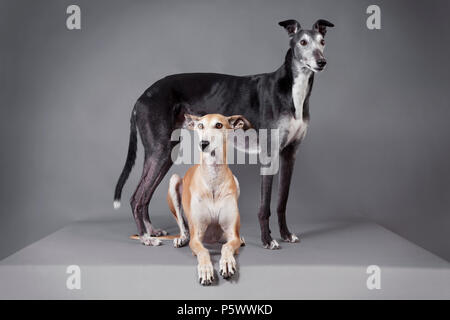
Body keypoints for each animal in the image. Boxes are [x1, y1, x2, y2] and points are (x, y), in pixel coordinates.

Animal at [114, 18, 332, 249]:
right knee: (136, 197)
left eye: (322, 41)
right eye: (303, 42)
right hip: (159, 150)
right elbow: (264, 206)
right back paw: (145, 237)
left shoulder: (290, 154)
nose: (321, 62)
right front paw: (267, 240)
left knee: (144, 196)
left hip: (165, 154)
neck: (292, 90)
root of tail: (141, 98)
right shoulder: (269, 154)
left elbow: (282, 201)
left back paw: (151, 230)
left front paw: (286, 235)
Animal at [167, 113, 250, 284]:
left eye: (219, 125)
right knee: (183, 226)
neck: (213, 177)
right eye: (200, 126)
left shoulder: (232, 234)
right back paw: (181, 238)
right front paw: (205, 269)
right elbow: (203, 251)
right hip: (174, 180)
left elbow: (227, 246)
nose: (203, 143)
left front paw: (227, 263)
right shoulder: (196, 237)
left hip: (236, 181)